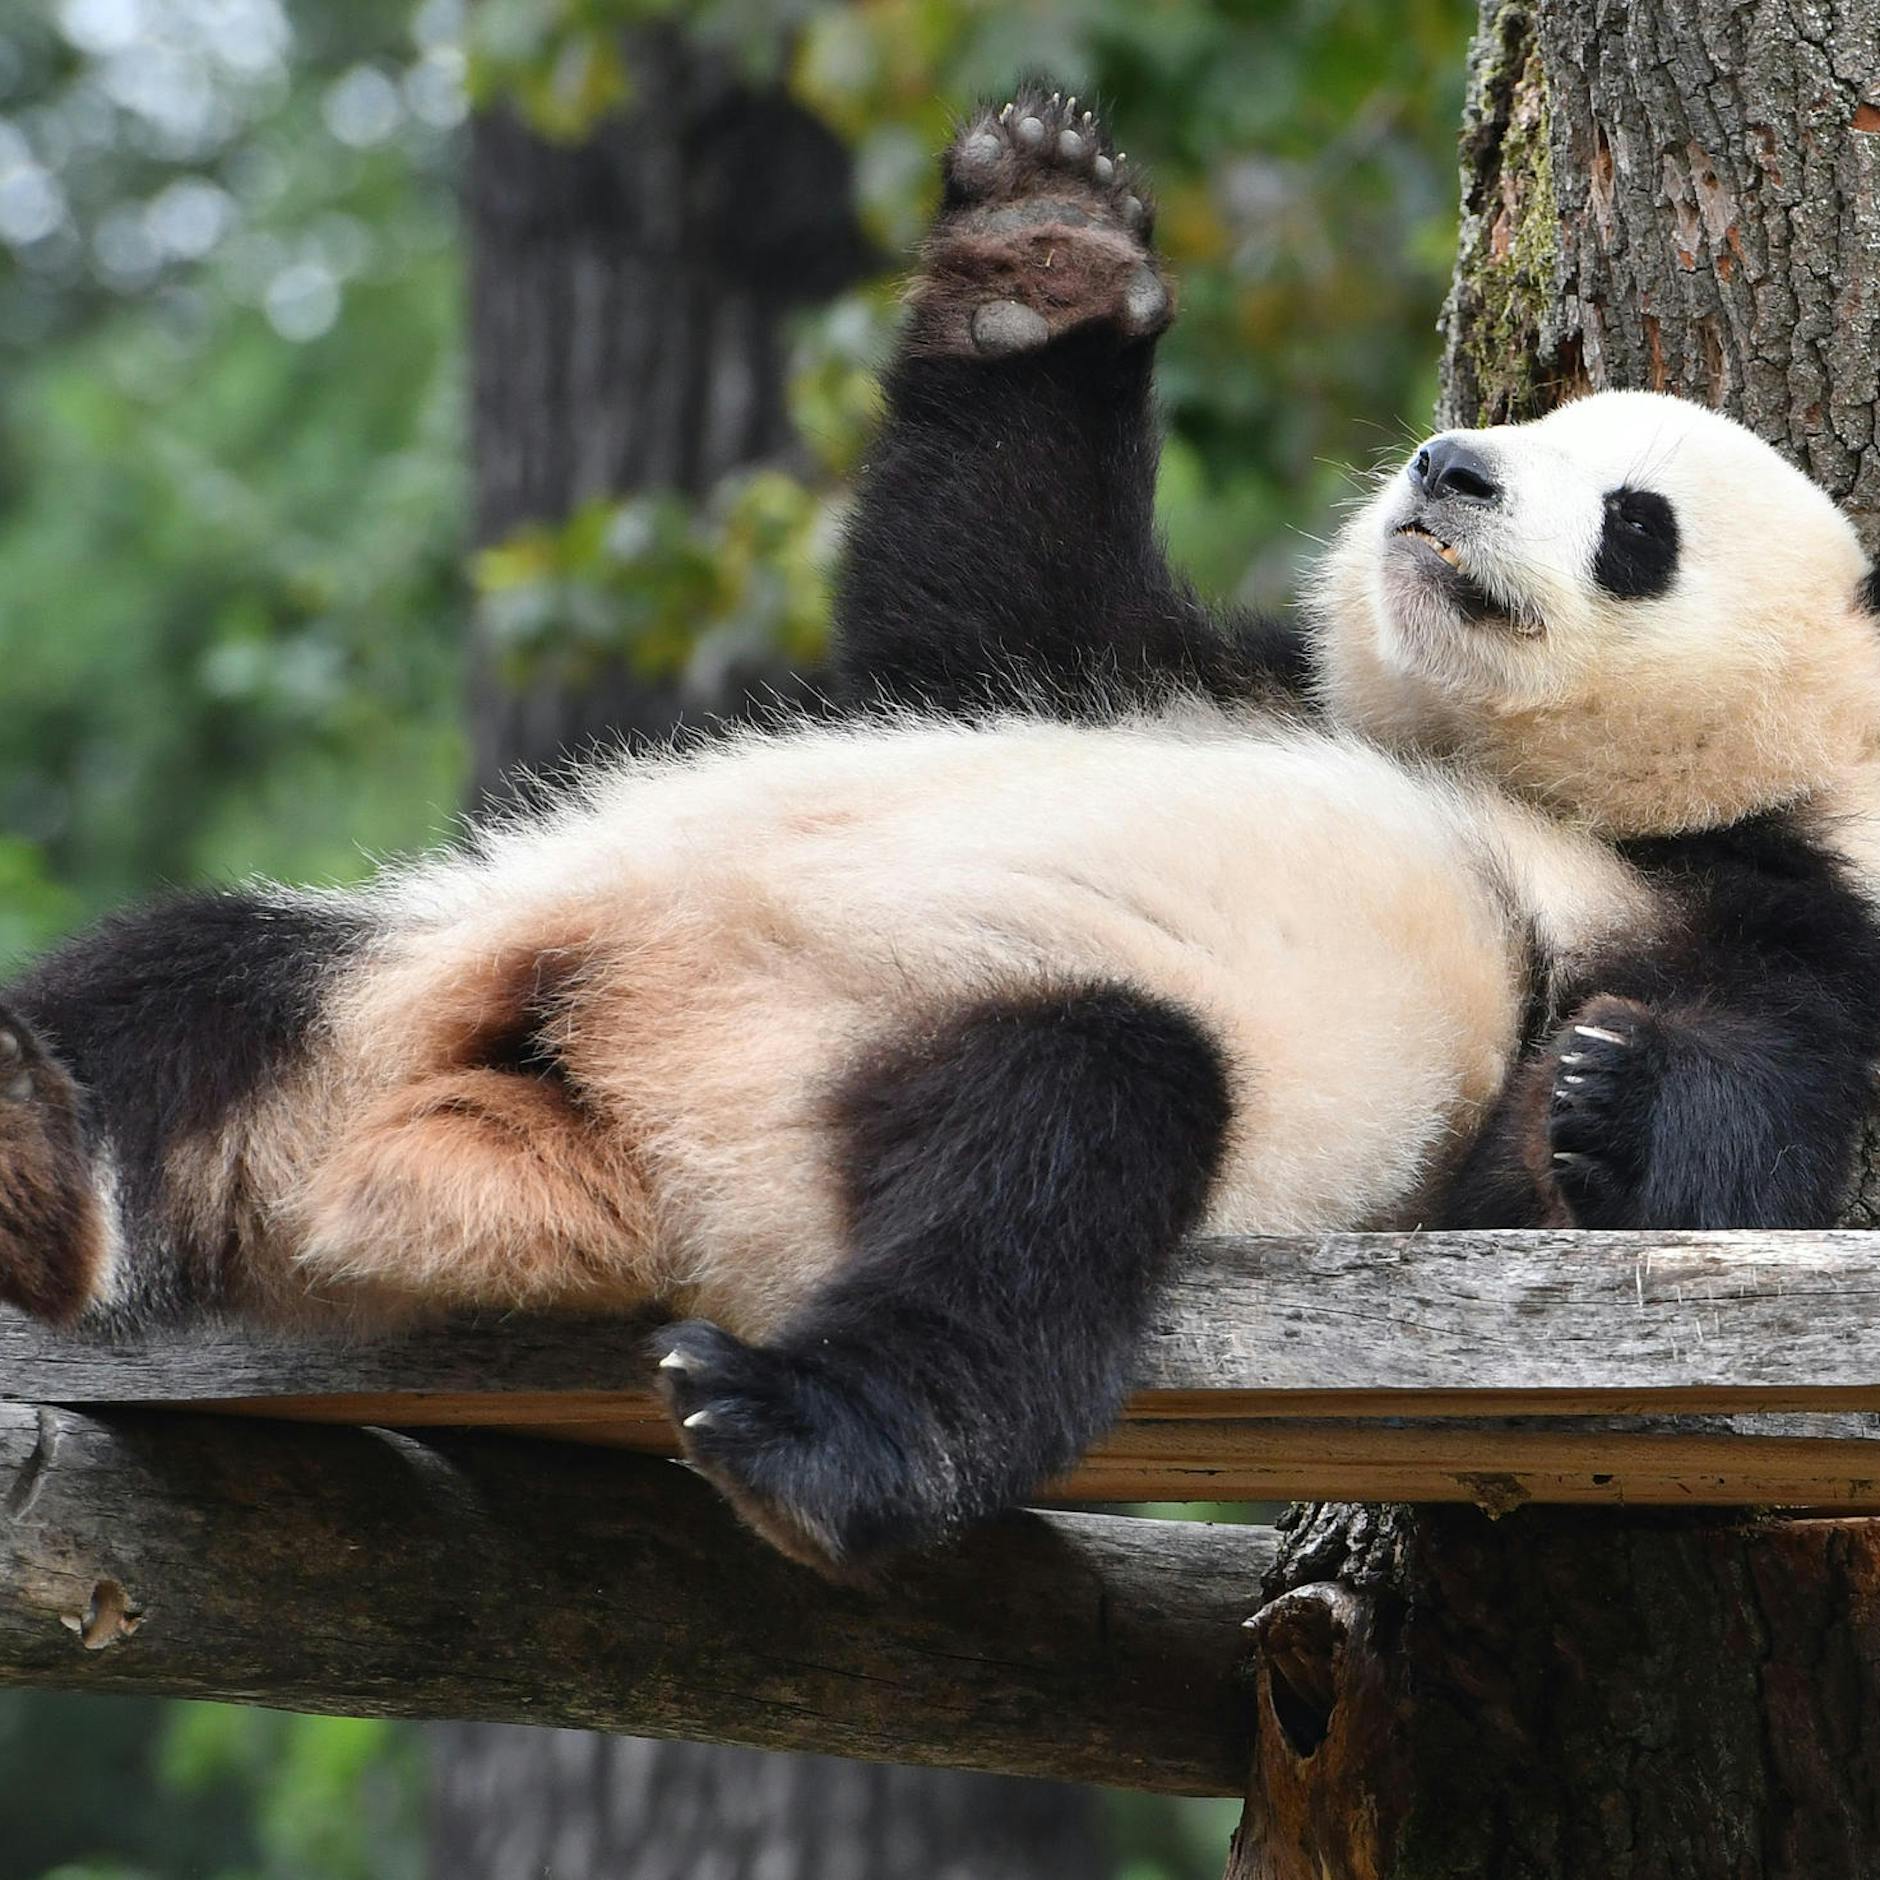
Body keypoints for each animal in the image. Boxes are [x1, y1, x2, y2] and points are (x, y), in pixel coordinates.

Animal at [2, 89, 1879, 1576]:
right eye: (1529, 421)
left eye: (1635, 524)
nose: (1449, 468)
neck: (1512, 771)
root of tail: (570, 1119)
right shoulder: (1203, 675)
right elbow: (976, 595)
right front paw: (1042, 247)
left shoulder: (1770, 907)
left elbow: (1712, 1151)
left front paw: (1606, 1090)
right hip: (438, 953)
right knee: (197, 976)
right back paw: (38, 1134)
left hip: (897, 1062)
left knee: (1056, 1158)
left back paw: (804, 1442)